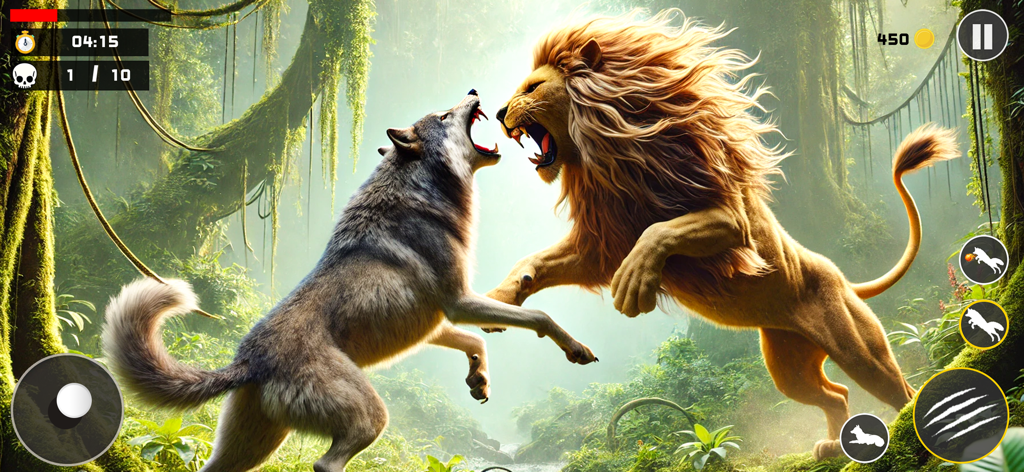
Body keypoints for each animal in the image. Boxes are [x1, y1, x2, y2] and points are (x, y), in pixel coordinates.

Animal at [102, 91, 597, 472]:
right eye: (443, 115)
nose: (475, 90)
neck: (424, 191)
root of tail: (247, 359)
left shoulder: (435, 322)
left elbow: (477, 341)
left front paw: (479, 380)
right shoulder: (458, 302)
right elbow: (538, 315)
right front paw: (576, 349)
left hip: (251, 449)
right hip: (371, 417)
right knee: (325, 463)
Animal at [486, 11, 959, 459]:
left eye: (532, 87)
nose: (498, 114)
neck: (612, 154)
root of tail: (843, 279)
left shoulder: (733, 221)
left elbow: (658, 232)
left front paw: (634, 285)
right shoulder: (602, 241)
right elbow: (535, 261)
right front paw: (501, 298)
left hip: (859, 350)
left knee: (901, 390)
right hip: (789, 367)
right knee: (836, 393)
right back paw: (831, 445)